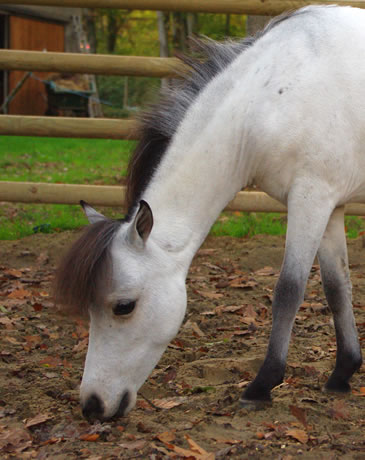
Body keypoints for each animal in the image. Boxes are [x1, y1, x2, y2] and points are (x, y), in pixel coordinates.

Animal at [55, 4, 362, 420]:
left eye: (124, 306)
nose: (93, 405)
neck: (273, 92)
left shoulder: (310, 198)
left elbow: (288, 290)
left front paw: (262, 385)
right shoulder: (329, 206)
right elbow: (336, 288)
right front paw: (343, 372)